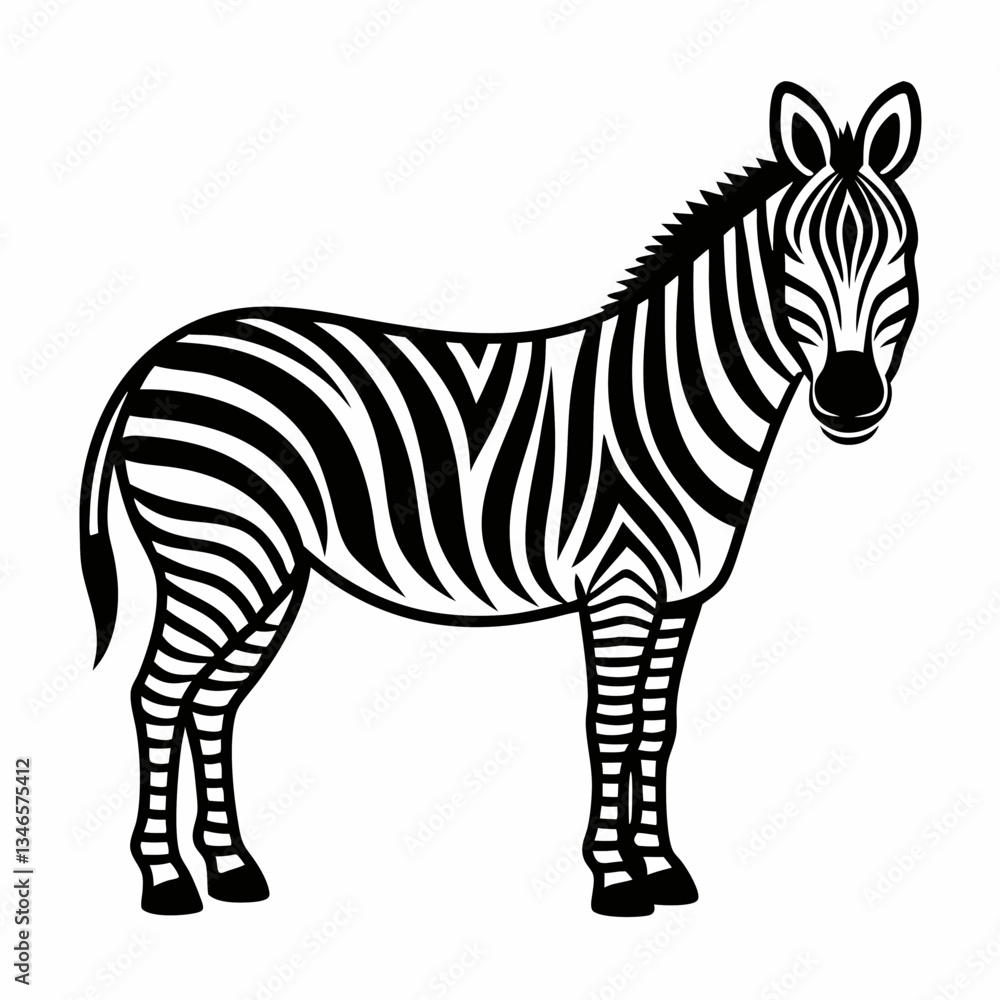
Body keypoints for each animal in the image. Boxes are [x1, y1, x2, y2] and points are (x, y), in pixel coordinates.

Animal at [80, 82, 921, 917]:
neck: (670, 392)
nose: (850, 397)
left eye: (900, 253)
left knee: (213, 700)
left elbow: (657, 727)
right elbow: (610, 725)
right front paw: (616, 878)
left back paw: (230, 869)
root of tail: (162, 353)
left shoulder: (681, 598)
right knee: (158, 692)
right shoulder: (620, 586)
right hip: (215, 551)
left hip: (267, 571)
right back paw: (165, 879)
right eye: (791, 259)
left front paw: (661, 867)